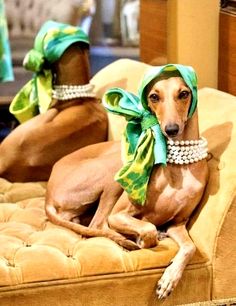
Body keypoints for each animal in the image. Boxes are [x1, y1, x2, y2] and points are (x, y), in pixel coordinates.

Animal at [45, 64, 208, 298]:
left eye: (184, 93)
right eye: (154, 96)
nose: (171, 130)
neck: (178, 166)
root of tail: (48, 192)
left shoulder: (178, 223)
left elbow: (190, 247)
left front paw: (169, 279)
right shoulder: (119, 214)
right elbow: (147, 228)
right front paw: (142, 238)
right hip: (112, 172)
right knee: (98, 224)